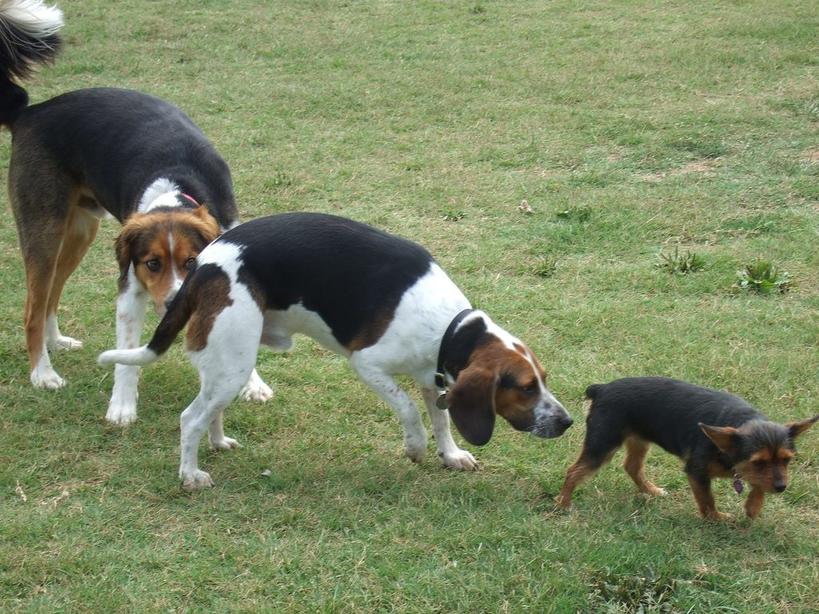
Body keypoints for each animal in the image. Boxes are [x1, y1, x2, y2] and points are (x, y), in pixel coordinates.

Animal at [0, 0, 272, 424]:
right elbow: (127, 357)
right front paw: (122, 406)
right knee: (33, 305)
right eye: (152, 264)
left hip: (79, 233)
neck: (177, 187)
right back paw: (43, 373)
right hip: (43, 230)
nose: (175, 302)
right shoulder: (129, 288)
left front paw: (252, 383)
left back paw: (56, 341)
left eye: (192, 262)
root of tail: (32, 112)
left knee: (51, 295)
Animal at [556, 378, 816, 524]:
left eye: (787, 460)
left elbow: (759, 485)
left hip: (639, 440)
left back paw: (651, 490)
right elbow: (707, 501)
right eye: (758, 462)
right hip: (603, 443)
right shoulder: (696, 471)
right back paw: (563, 504)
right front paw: (717, 520)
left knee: (632, 466)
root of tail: (602, 389)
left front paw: (753, 507)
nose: (782, 488)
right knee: (573, 471)